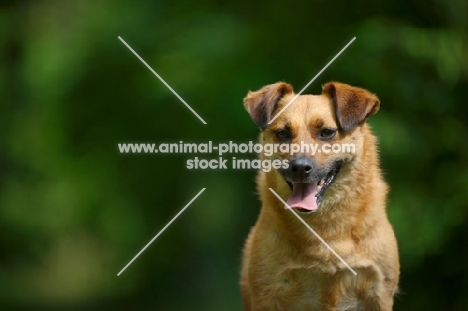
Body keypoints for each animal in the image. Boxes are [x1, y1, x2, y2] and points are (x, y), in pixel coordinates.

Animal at [241, 81, 398, 310]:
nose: (299, 167)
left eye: (326, 132)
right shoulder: (267, 293)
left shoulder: (378, 293)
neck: (325, 231)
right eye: (282, 133)